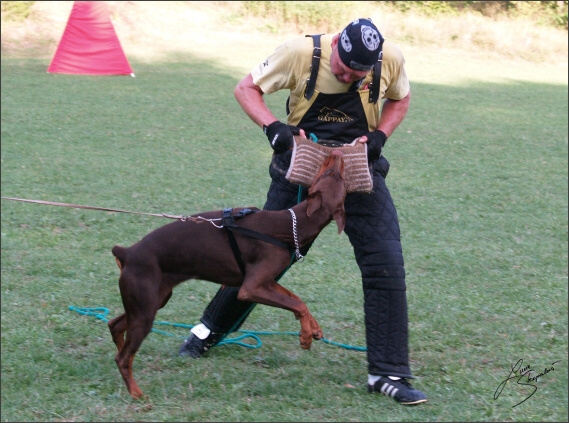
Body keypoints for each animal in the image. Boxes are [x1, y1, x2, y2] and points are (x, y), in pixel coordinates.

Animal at [106, 151, 346, 400]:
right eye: (332, 174)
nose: (337, 152)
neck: (290, 225)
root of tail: (127, 252)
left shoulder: (266, 282)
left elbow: (298, 300)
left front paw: (313, 327)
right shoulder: (252, 287)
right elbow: (296, 303)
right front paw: (306, 335)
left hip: (152, 301)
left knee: (114, 325)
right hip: (145, 309)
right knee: (122, 357)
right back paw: (136, 393)